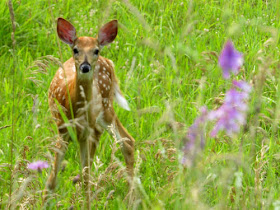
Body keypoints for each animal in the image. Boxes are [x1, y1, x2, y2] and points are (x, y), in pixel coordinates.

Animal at [44, 17, 135, 206]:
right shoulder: (62, 128)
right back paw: (132, 199)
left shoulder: (86, 132)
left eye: (96, 50)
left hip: (105, 110)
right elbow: (52, 179)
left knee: (126, 141)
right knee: (127, 141)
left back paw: (130, 200)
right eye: (75, 49)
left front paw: (85, 203)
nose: (85, 66)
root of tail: (109, 62)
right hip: (101, 117)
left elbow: (86, 176)